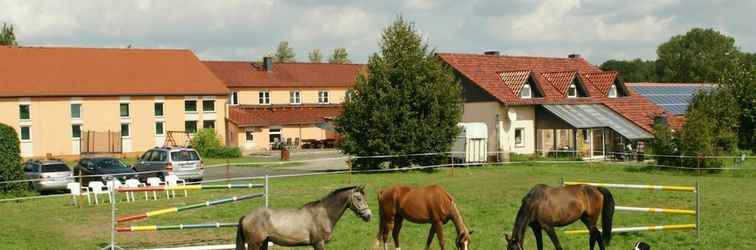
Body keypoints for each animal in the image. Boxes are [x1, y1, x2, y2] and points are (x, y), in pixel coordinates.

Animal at [233, 185, 370, 249]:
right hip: (254, 244)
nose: (368, 215)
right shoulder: (319, 243)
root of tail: (246, 216)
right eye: (359, 198)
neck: (323, 214)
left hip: (264, 243)